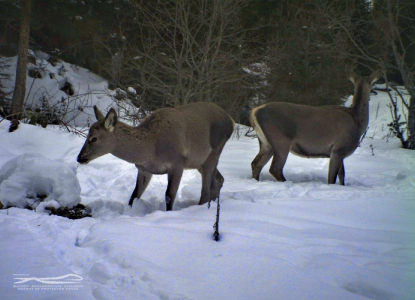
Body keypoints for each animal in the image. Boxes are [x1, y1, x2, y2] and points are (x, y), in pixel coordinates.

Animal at [77, 102, 234, 210]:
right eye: (88, 134)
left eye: (94, 138)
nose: (80, 157)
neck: (150, 150)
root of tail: (231, 121)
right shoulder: (143, 169)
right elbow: (134, 196)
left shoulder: (177, 163)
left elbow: (169, 195)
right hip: (198, 161)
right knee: (219, 180)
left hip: (214, 150)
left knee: (206, 189)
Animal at [250, 67, 384, 185]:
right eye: (372, 84)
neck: (357, 122)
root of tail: (255, 112)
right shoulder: (338, 149)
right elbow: (332, 178)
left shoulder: (339, 152)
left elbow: (342, 175)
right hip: (281, 140)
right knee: (275, 168)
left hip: (265, 142)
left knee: (256, 163)